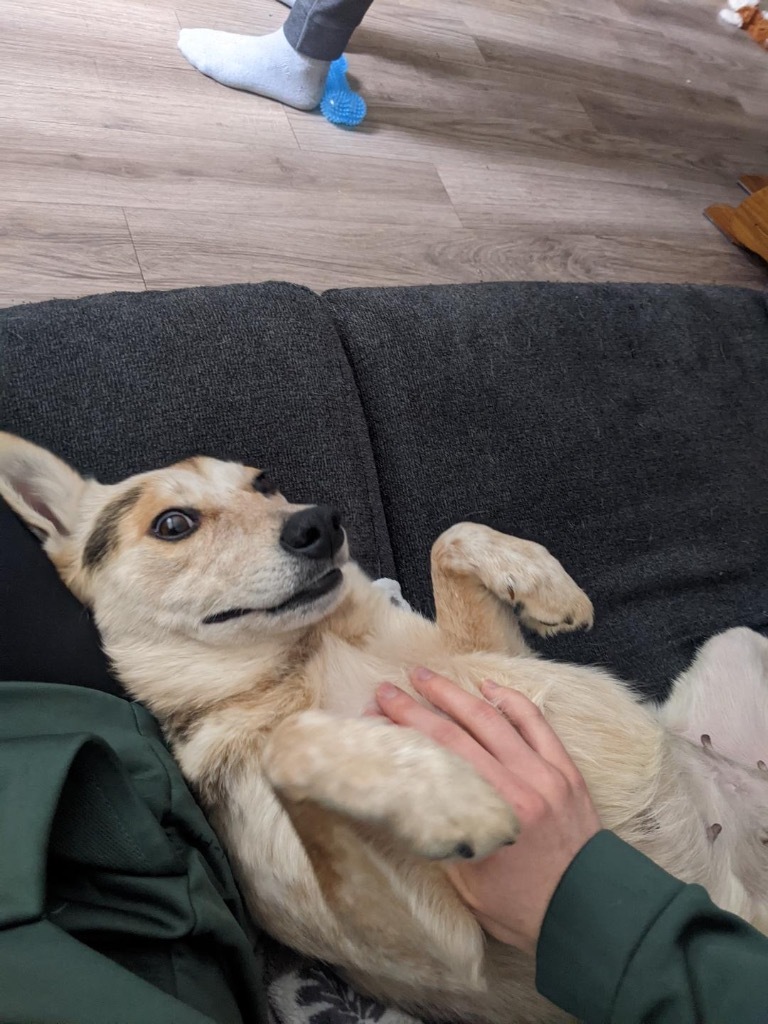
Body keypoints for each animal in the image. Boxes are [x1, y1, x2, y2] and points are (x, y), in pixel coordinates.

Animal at [1, 434, 768, 1024]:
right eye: (173, 525)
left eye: (265, 483)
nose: (319, 522)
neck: (311, 653)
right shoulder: (442, 946)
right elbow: (290, 745)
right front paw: (440, 795)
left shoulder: (497, 661)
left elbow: (451, 536)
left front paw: (543, 583)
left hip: (734, 642)